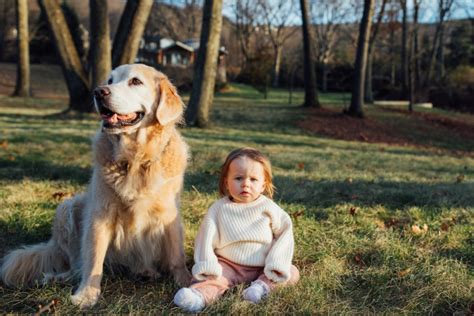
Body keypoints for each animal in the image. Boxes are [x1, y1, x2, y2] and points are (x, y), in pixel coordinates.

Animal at [1, 64, 193, 308]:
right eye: (110, 80)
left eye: (136, 81)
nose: (99, 92)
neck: (135, 159)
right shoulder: (100, 213)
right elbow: (93, 259)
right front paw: (87, 295)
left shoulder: (169, 213)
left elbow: (176, 254)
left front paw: (185, 281)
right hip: (68, 207)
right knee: (76, 265)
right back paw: (56, 277)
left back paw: (145, 271)